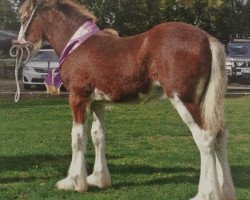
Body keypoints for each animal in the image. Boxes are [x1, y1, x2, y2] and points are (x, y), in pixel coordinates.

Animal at [17, 0, 236, 200]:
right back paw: (225, 191)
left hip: (184, 100)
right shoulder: (97, 102)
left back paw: (206, 194)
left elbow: (77, 138)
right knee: (220, 135)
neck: (78, 45)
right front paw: (99, 179)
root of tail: (207, 39)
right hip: (206, 103)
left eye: (25, 16)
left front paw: (73, 182)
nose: (19, 45)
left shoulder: (78, 98)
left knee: (205, 138)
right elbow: (98, 136)